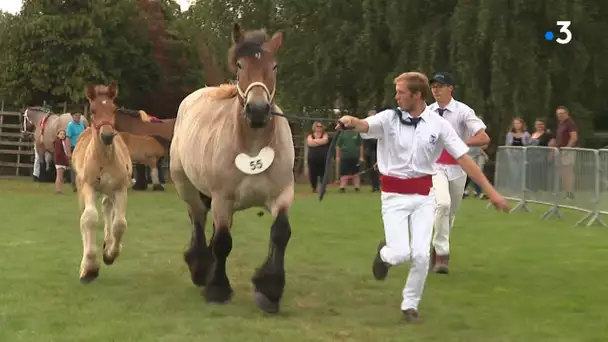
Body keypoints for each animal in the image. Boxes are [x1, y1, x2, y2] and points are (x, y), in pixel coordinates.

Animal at [72, 81, 133, 284]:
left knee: (107, 208)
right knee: (85, 217)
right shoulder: (89, 187)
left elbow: (119, 224)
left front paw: (110, 254)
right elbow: (89, 219)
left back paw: (108, 243)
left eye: (114, 109)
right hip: (83, 189)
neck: (104, 159)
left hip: (109, 191)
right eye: (93, 110)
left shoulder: (121, 188)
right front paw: (89, 268)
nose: (107, 136)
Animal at [170, 22, 296, 314]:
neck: (253, 145)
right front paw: (217, 289)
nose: (258, 110)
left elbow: (280, 233)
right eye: (240, 65)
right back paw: (200, 268)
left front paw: (269, 290)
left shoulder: (282, 195)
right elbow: (223, 242)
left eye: (274, 66)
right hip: (188, 188)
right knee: (198, 218)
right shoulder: (222, 199)